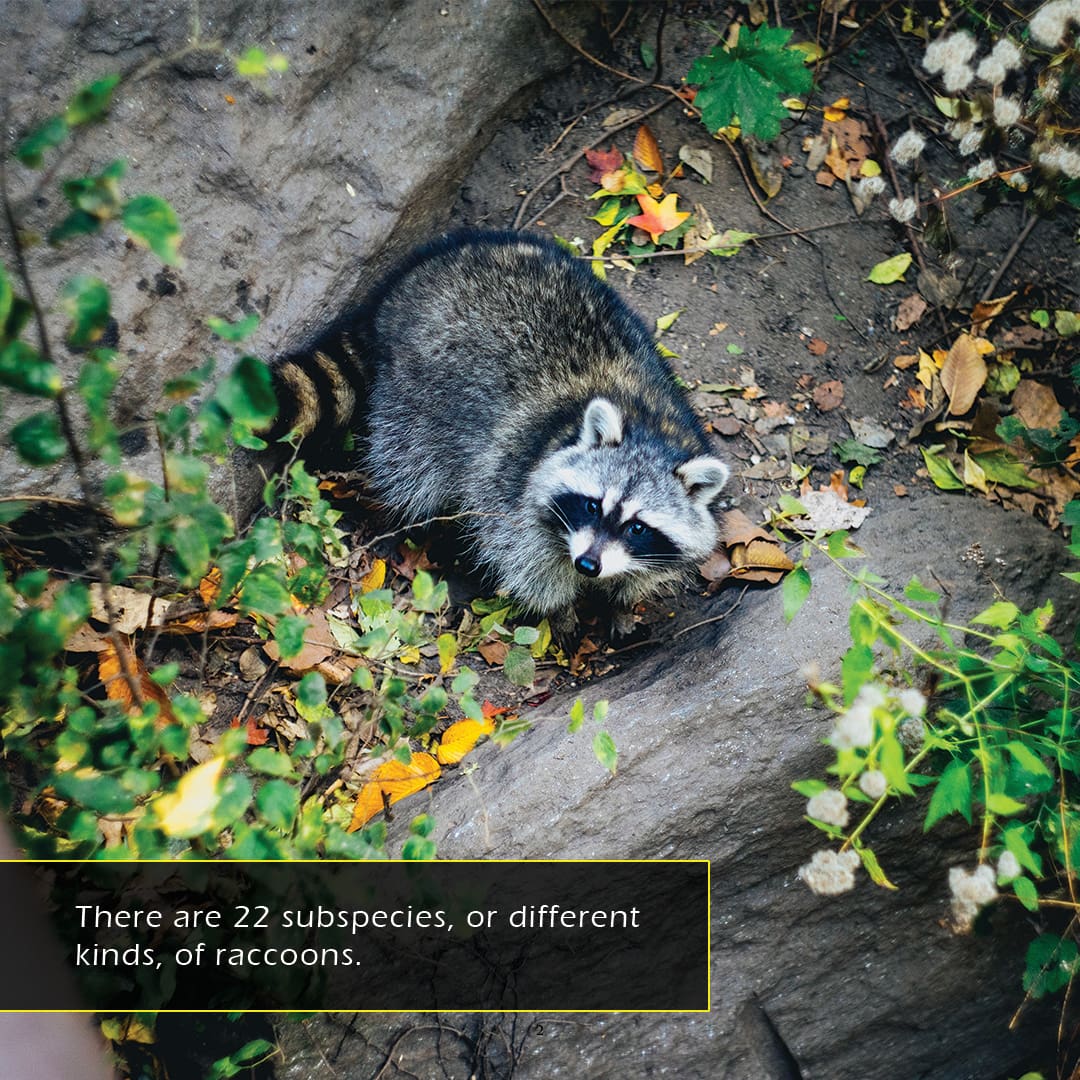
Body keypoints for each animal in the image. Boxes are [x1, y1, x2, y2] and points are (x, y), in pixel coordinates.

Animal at [270, 230, 729, 643]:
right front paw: (561, 612)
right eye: (592, 505)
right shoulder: (511, 480)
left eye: (637, 527)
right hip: (416, 395)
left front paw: (621, 603)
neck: (650, 427)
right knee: (411, 466)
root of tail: (407, 284)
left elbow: (646, 571)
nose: (587, 565)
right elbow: (525, 561)